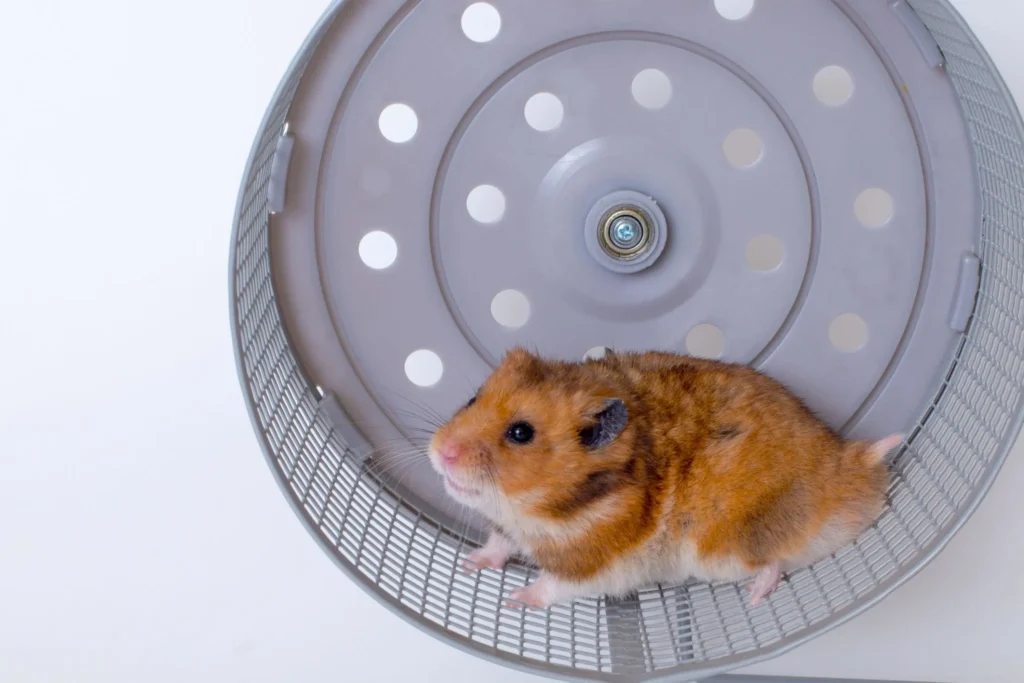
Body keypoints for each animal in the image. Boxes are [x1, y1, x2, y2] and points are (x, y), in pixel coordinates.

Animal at [429, 348, 902, 609]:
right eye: (472, 398)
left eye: (521, 433)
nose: (440, 452)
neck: (539, 509)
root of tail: (852, 472)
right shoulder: (506, 528)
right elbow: (497, 545)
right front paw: (468, 563)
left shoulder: (592, 565)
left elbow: (551, 585)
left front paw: (516, 600)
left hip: (723, 547)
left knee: (771, 564)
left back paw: (754, 598)